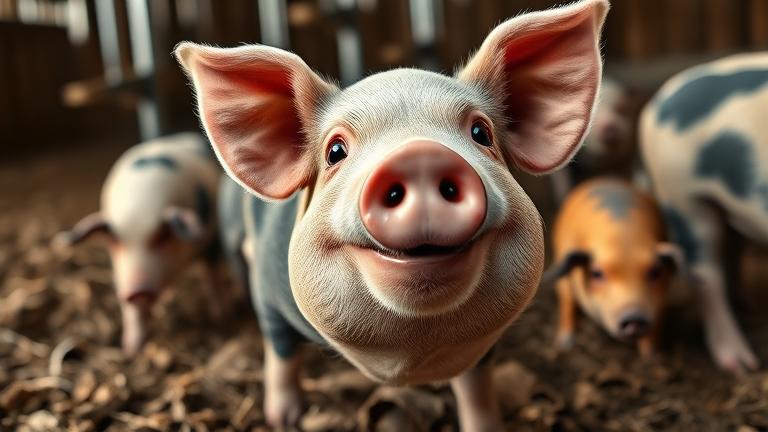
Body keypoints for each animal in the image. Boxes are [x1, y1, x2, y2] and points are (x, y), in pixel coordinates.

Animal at [54, 132, 222, 355]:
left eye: (162, 237)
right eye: (115, 242)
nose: (137, 291)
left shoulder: (213, 240)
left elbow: (212, 279)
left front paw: (220, 317)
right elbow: (134, 312)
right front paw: (130, 350)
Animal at [175, 0, 608, 428]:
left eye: (481, 133)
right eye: (335, 151)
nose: (420, 155)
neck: (403, 366)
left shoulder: (484, 347)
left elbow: (476, 389)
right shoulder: (268, 291)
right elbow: (281, 351)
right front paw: (285, 418)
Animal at [547, 178, 681, 356]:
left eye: (655, 272)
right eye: (597, 273)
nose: (634, 318)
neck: (623, 236)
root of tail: (604, 179)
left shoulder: (663, 298)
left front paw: (650, 353)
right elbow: (567, 302)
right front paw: (564, 343)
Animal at [639, 53, 768, 374]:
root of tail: (659, 102)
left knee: (732, 249)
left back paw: (747, 305)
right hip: (681, 196)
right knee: (706, 274)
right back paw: (741, 365)